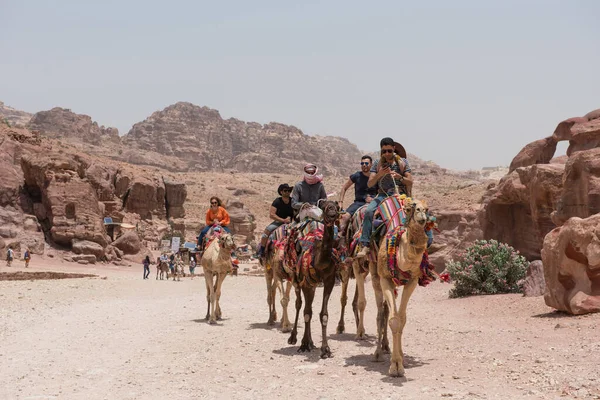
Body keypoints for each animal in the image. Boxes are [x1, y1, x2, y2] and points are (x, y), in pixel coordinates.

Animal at [288, 200, 340, 360]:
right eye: (326, 206)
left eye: (336, 206)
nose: (332, 213)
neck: (319, 260)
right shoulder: (306, 282)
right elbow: (307, 312)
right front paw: (304, 344)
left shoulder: (329, 280)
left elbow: (323, 314)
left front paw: (325, 349)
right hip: (296, 280)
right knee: (299, 304)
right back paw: (294, 338)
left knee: (307, 306)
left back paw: (311, 342)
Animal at [370, 200, 432, 378]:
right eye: (411, 208)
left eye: (427, 209)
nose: (421, 215)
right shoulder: (385, 279)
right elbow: (393, 320)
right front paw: (394, 367)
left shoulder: (412, 281)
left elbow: (402, 319)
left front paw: (400, 361)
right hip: (375, 276)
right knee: (380, 314)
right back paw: (378, 353)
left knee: (387, 310)